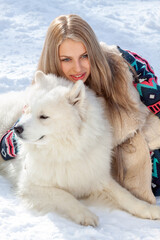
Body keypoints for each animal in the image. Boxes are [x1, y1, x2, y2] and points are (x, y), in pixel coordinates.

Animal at [0, 71, 160, 227]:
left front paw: (150, 210)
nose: (16, 129)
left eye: (44, 116)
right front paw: (85, 215)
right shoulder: (31, 186)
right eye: (27, 111)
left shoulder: (95, 176)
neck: (66, 152)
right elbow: (65, 196)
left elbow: (125, 195)